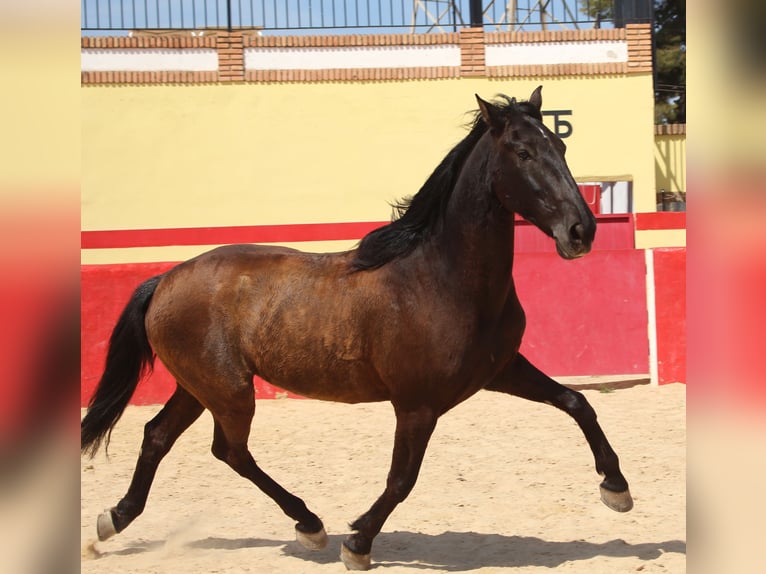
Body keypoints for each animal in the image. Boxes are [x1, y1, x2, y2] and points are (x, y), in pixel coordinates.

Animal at [81, 86, 633, 570]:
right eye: (522, 151)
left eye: (560, 145)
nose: (582, 230)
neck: (440, 278)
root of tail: (166, 279)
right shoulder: (417, 405)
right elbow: (402, 480)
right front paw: (358, 543)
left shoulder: (500, 372)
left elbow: (577, 402)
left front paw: (617, 489)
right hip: (228, 390)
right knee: (229, 450)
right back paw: (310, 524)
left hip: (199, 387)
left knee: (158, 436)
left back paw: (112, 521)